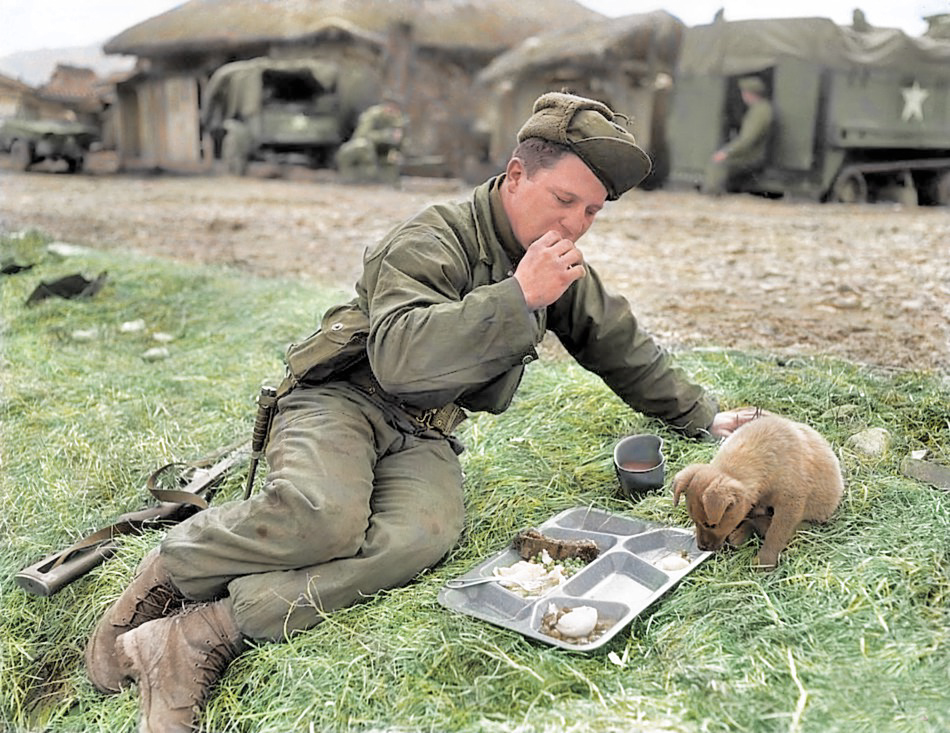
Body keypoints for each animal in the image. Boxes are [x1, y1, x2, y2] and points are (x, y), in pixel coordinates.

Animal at [672, 414, 844, 568]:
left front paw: (764, 562)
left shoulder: (791, 503)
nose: (701, 548)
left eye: (711, 525)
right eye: (695, 520)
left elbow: (776, 534)